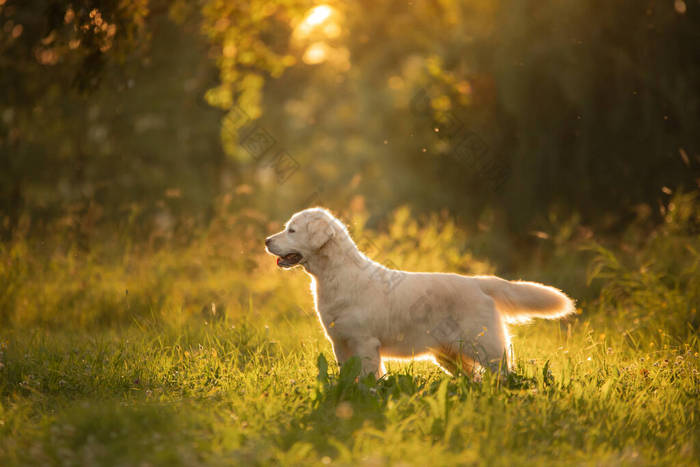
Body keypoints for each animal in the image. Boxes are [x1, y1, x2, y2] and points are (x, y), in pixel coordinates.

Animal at [264, 208, 576, 380]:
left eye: (291, 230)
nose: (266, 240)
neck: (335, 275)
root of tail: (479, 283)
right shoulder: (339, 343)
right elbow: (348, 377)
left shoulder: (365, 343)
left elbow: (368, 378)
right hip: (450, 355)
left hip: (485, 347)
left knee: (503, 374)